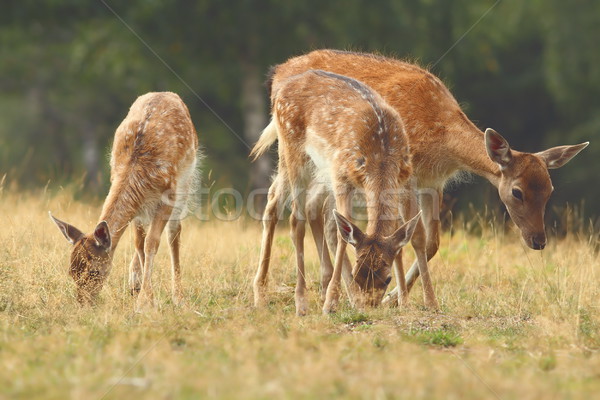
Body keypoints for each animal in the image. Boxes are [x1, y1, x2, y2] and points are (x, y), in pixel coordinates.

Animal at [49, 92, 199, 310]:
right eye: (71, 271)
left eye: (94, 271)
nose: (83, 304)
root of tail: (167, 93)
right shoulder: (137, 204)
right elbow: (139, 243)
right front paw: (144, 294)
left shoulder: (167, 196)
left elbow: (152, 243)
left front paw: (146, 302)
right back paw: (134, 282)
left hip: (186, 178)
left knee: (175, 232)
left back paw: (178, 296)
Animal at [251, 69, 434, 316]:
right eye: (358, 275)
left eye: (386, 279)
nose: (370, 306)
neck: (381, 155)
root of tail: (281, 88)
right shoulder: (340, 176)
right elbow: (341, 232)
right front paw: (330, 303)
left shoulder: (406, 178)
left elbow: (417, 234)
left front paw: (425, 302)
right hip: (292, 148)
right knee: (295, 219)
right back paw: (298, 302)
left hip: (305, 164)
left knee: (275, 201)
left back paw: (263, 294)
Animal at [264, 50, 588, 306]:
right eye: (517, 192)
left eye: (550, 190)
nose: (538, 241)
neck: (440, 139)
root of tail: (279, 71)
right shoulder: (407, 178)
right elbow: (414, 237)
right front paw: (409, 300)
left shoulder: (433, 183)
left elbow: (431, 243)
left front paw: (395, 296)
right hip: (298, 153)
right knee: (280, 201)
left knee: (316, 211)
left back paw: (328, 288)